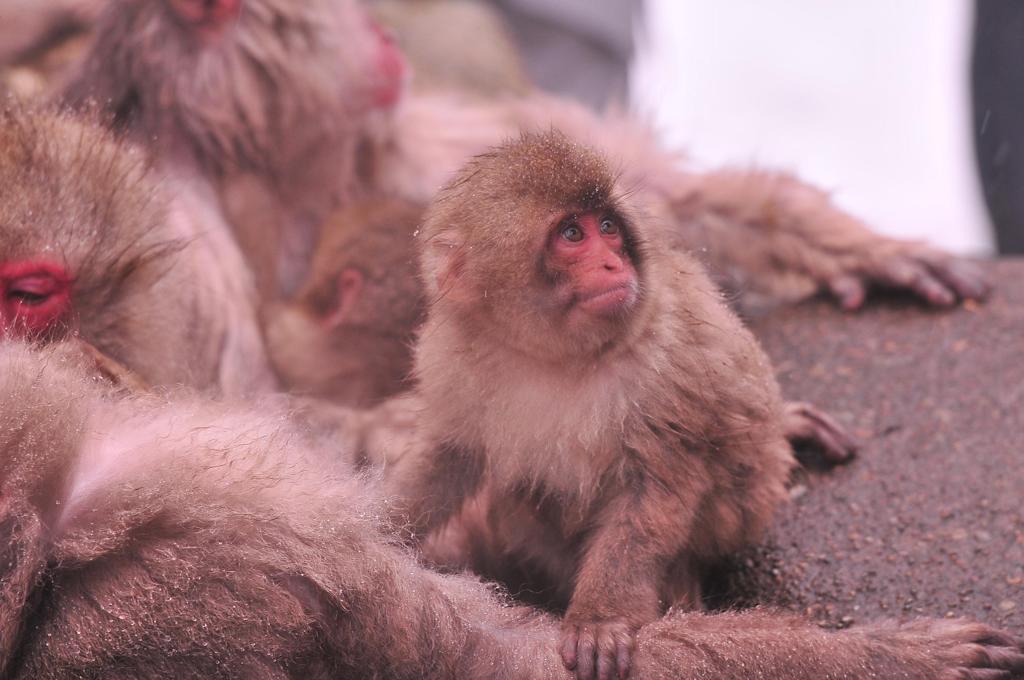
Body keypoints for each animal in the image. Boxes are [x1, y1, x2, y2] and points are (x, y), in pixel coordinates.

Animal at [387, 133, 794, 680]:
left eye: (607, 228)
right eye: (572, 234)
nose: (613, 265)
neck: (554, 357)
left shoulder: (667, 365)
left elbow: (655, 490)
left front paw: (600, 619)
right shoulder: (451, 355)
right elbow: (450, 458)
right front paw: (372, 528)